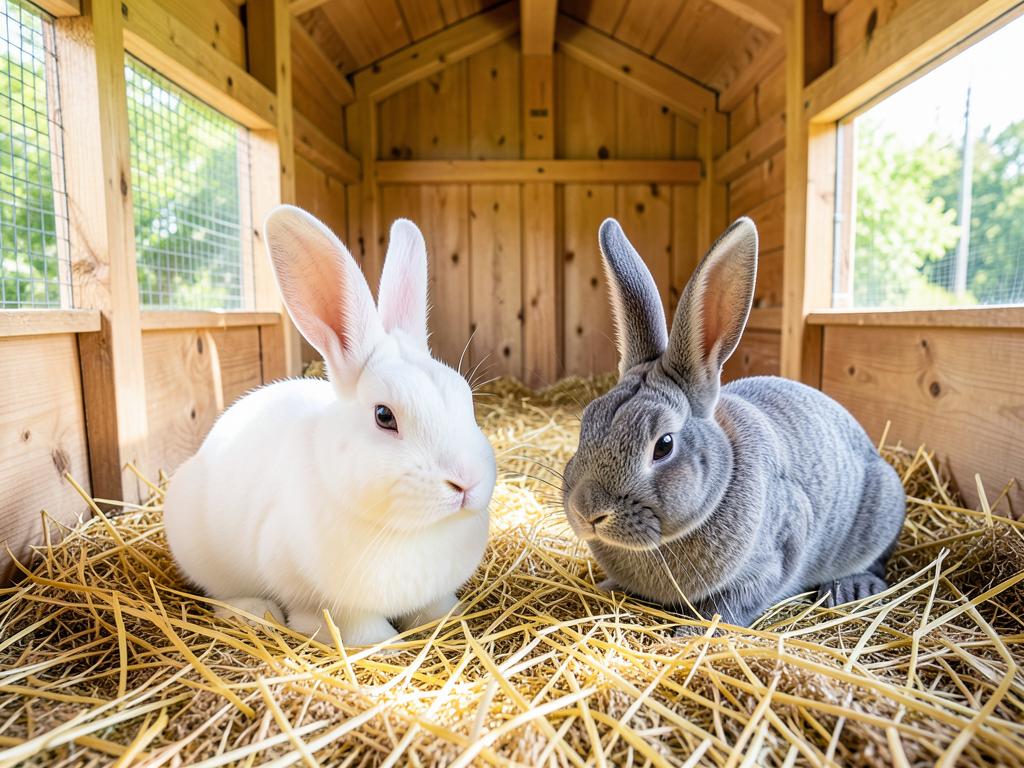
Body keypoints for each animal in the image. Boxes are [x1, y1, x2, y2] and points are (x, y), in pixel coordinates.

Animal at [163, 206, 496, 646]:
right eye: (384, 416)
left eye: (465, 399)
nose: (466, 482)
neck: (414, 530)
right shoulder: (319, 594)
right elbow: (345, 623)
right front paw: (381, 645)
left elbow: (435, 607)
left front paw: (450, 617)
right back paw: (255, 611)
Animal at [560, 217, 906, 628]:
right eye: (586, 423)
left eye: (664, 445)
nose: (587, 512)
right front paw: (607, 586)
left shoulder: (773, 560)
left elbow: (731, 606)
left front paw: (690, 633)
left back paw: (853, 586)